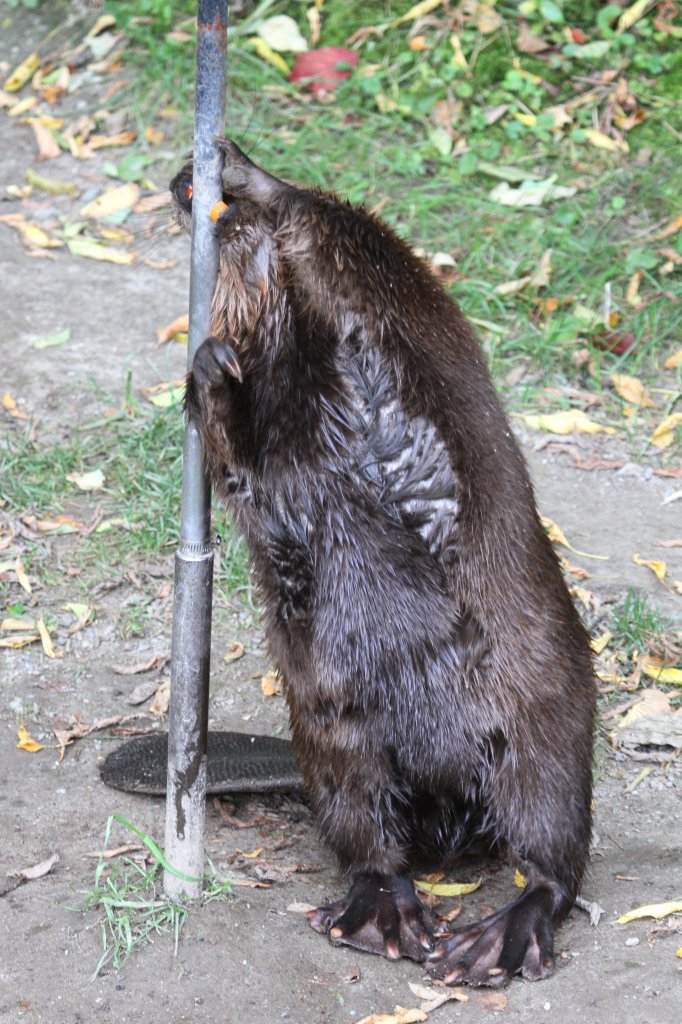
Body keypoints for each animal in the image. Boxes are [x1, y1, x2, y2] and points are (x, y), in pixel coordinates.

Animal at [171, 140, 593, 987]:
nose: (196, 177)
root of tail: (452, 825)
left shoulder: (397, 305)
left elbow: (341, 241)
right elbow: (242, 462)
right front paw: (211, 365)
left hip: (548, 734)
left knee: (555, 860)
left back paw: (493, 943)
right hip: (335, 739)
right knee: (369, 841)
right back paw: (384, 918)